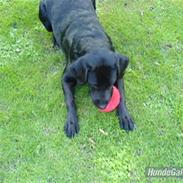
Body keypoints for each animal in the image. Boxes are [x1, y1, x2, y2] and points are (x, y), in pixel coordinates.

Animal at [39, 0, 135, 137]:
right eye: (93, 85)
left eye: (110, 84)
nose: (103, 106)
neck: (94, 42)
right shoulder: (66, 78)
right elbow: (70, 100)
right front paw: (71, 122)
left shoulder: (120, 73)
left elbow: (121, 95)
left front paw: (125, 116)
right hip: (44, 18)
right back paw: (55, 42)